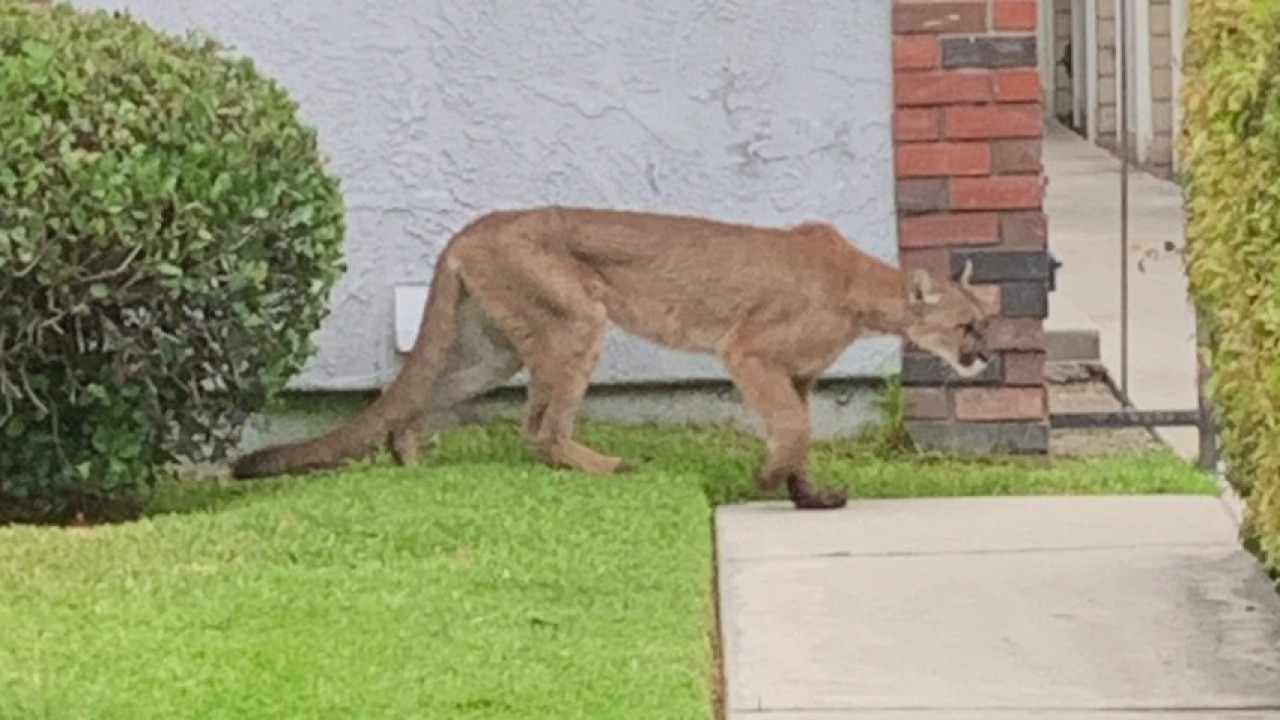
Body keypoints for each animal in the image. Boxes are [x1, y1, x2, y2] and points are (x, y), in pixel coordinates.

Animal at [230, 206, 992, 510]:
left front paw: (807, 494)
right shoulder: (748, 352)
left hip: (492, 349)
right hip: (575, 322)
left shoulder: (795, 373)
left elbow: (798, 431)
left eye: (990, 321)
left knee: (415, 403)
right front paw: (767, 478)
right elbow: (794, 428)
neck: (863, 289)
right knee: (539, 430)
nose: (985, 360)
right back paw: (610, 466)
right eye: (967, 326)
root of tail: (478, 224)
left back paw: (411, 467)